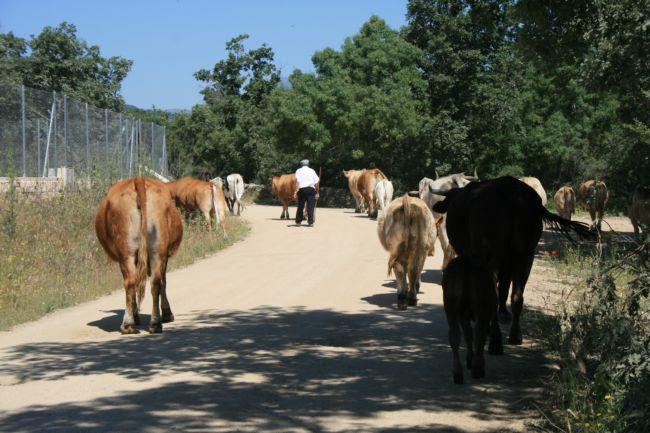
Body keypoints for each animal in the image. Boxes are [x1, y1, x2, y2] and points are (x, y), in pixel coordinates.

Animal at [93, 177, 181, 332]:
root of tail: (138, 179)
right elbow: (162, 281)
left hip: (127, 252)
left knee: (131, 282)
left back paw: (128, 324)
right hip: (156, 250)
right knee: (155, 282)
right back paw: (154, 324)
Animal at [430, 176, 592, 378]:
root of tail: (513, 193)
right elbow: (506, 289)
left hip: (494, 255)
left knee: (494, 293)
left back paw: (495, 341)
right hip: (525, 255)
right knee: (517, 296)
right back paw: (515, 335)